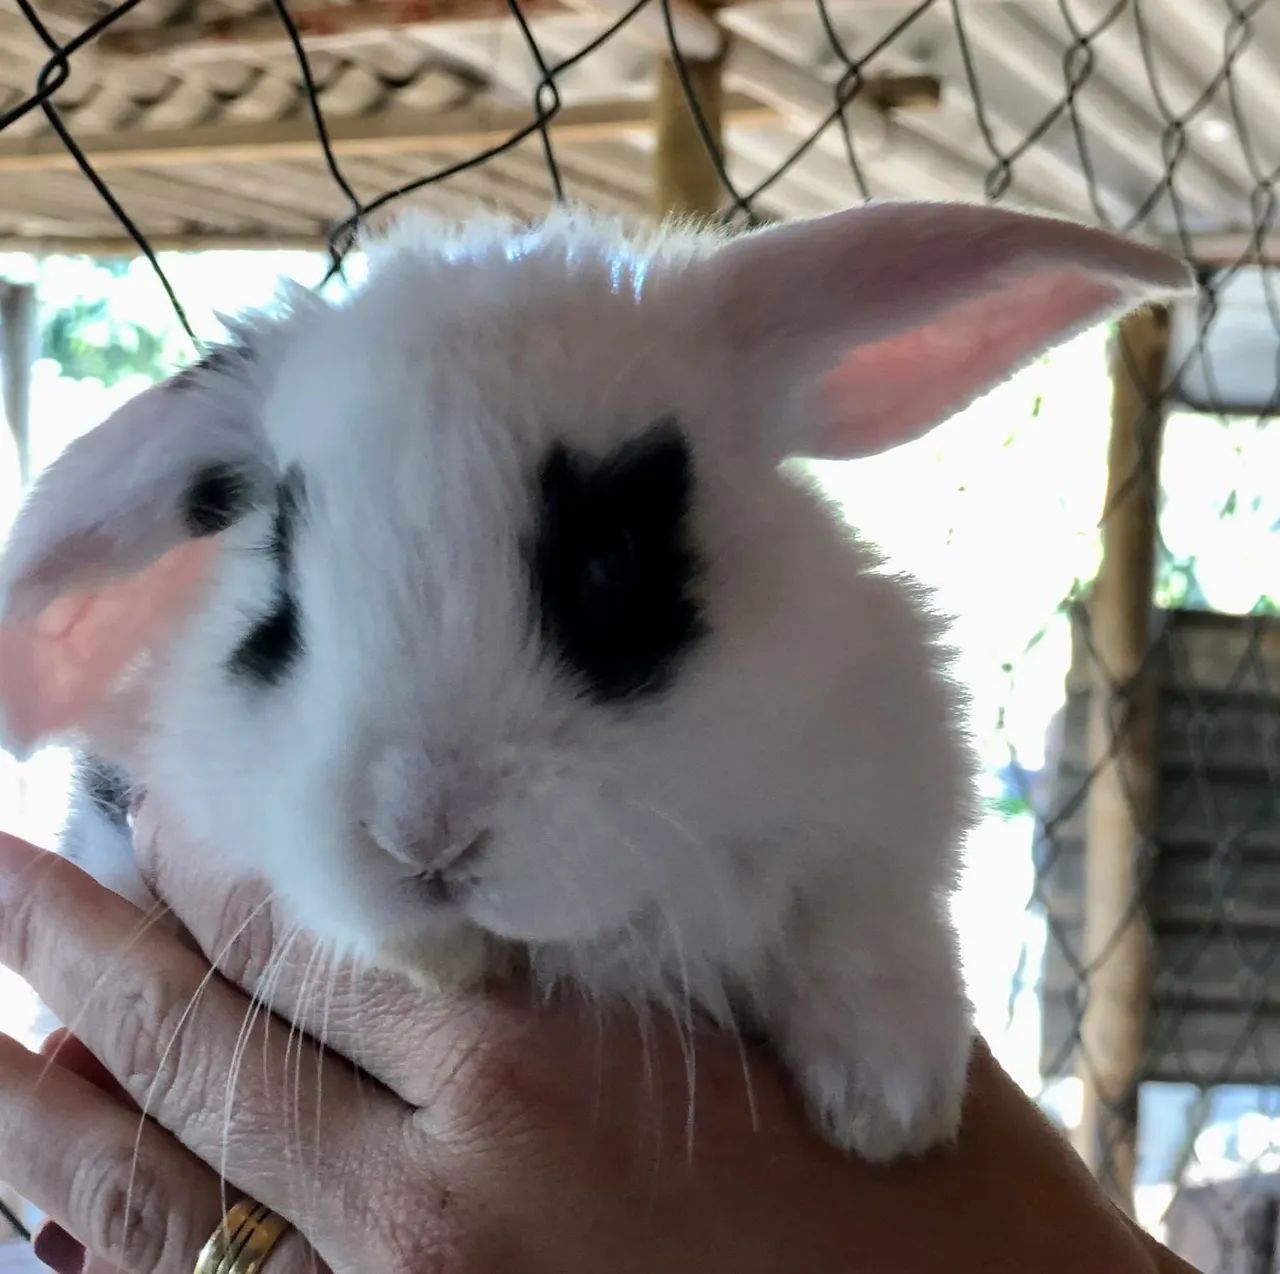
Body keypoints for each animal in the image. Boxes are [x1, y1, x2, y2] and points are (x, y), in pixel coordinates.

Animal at [0, 202, 1192, 1162]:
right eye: (279, 584)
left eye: (613, 560)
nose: (423, 833)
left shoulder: (882, 789)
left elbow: (860, 916)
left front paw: (889, 1105)